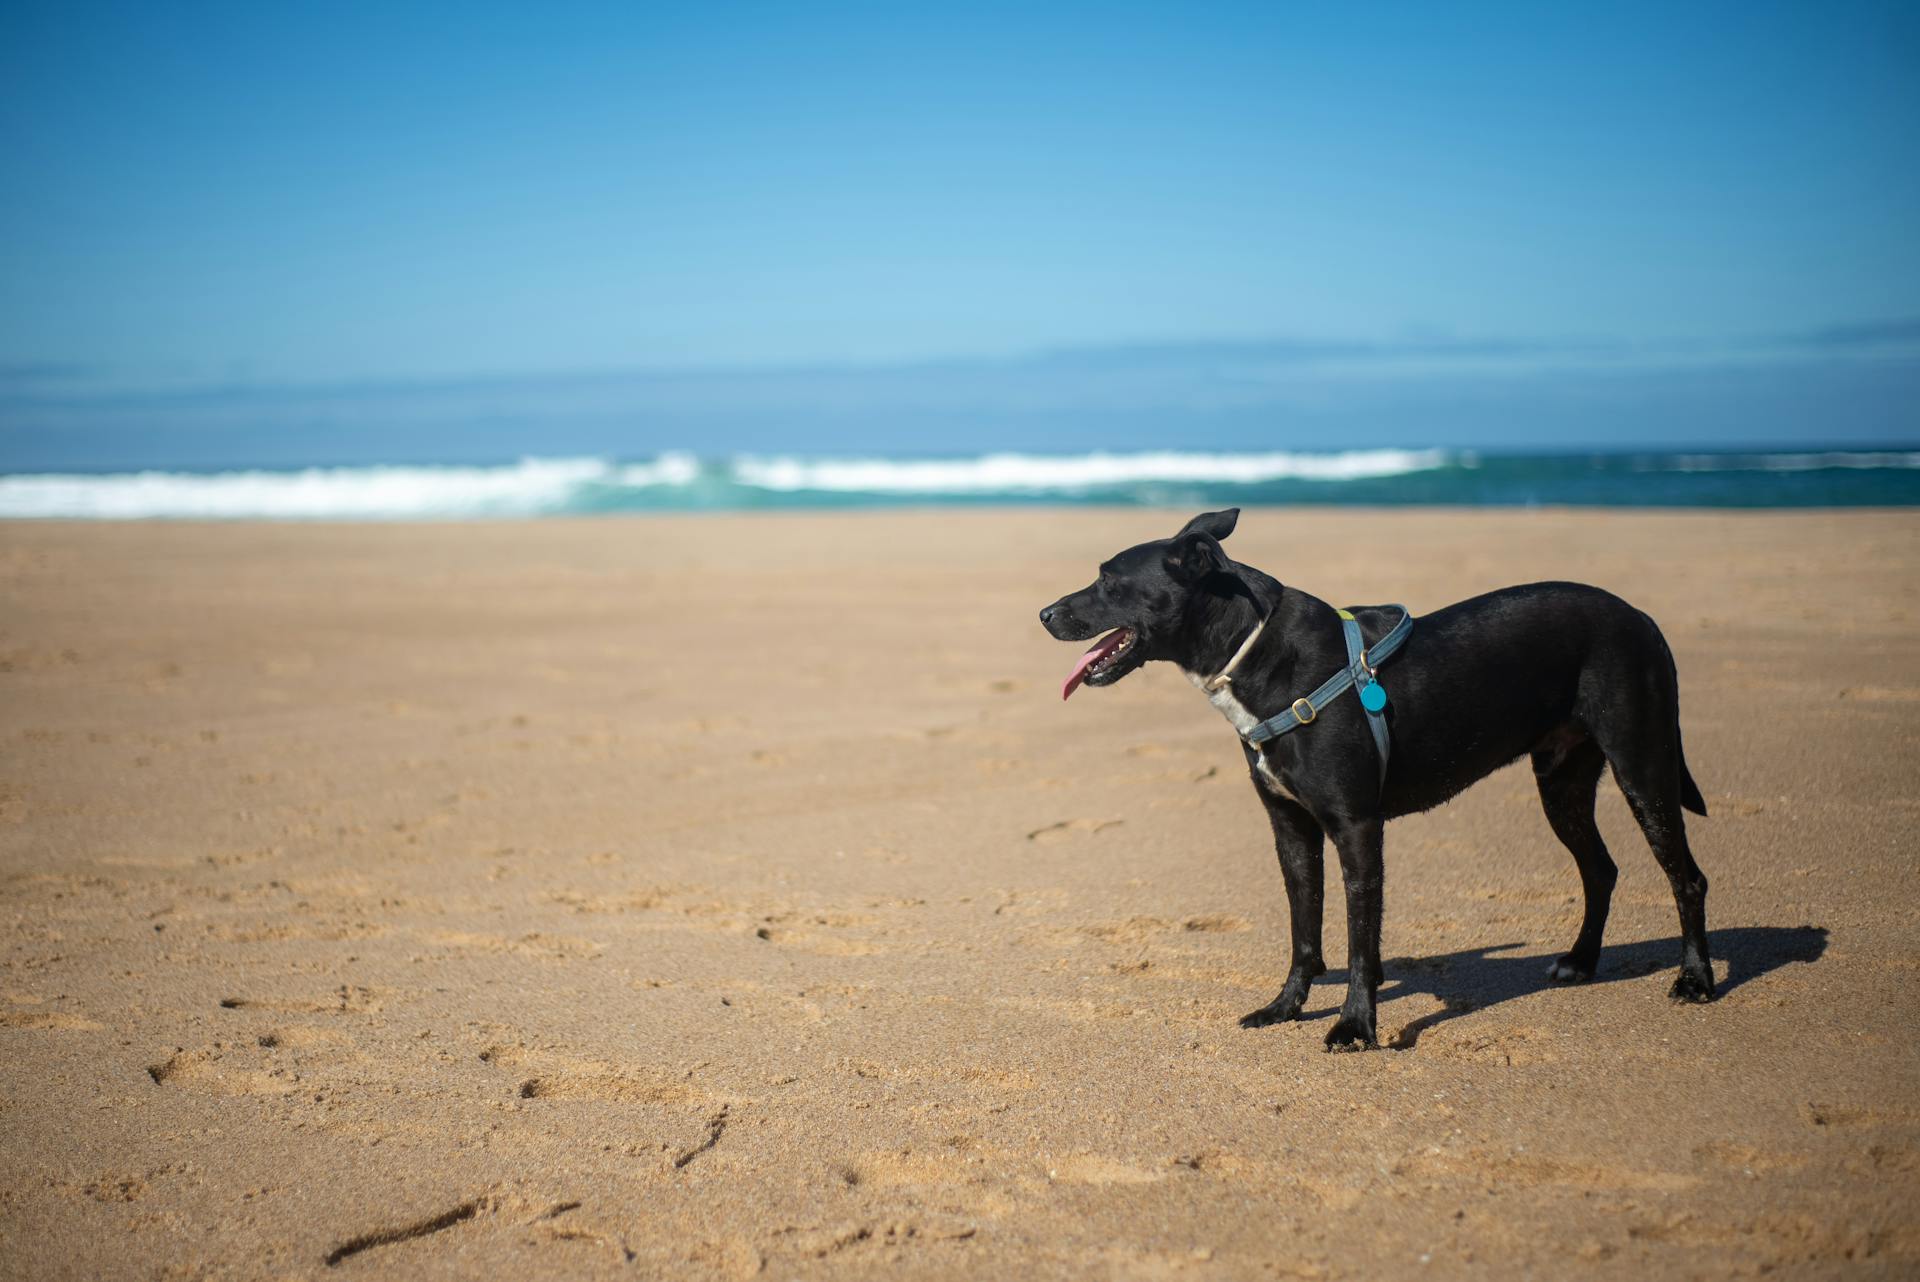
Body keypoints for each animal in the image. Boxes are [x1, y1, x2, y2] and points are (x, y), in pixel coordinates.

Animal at [1044, 510, 1720, 1051]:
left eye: (1108, 580)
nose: (1045, 612)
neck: (1254, 649)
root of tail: (1641, 616)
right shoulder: (1292, 829)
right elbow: (1304, 933)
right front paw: (1285, 1008)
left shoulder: (1357, 829)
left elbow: (1359, 942)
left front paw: (1354, 1027)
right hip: (1562, 780)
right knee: (1600, 868)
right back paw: (1580, 962)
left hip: (1642, 764)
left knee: (1686, 876)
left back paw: (1695, 979)